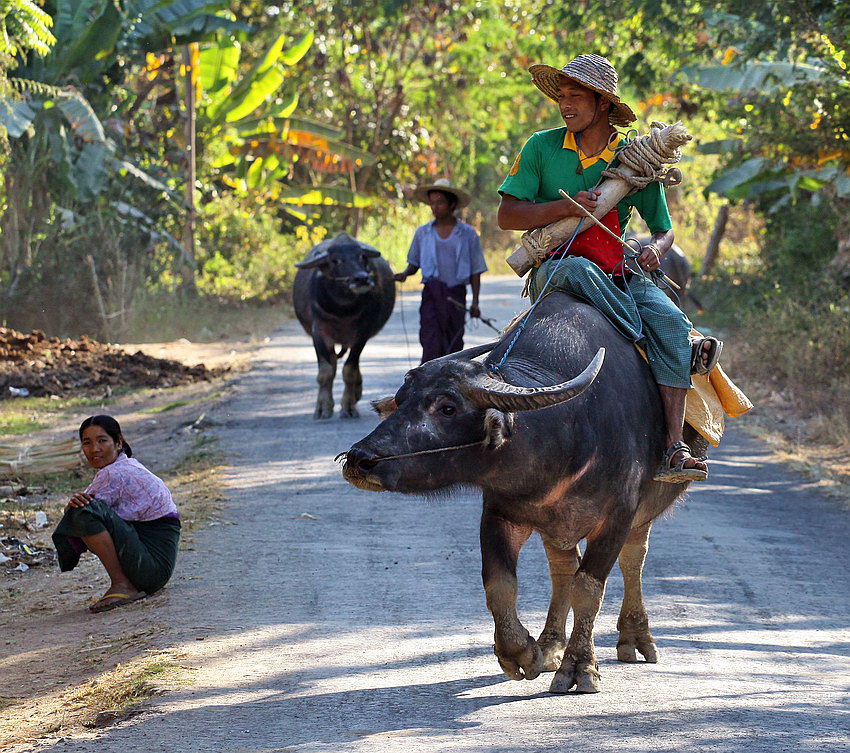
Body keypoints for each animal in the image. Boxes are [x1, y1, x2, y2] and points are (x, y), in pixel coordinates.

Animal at [294, 232, 394, 420]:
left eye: (362, 257)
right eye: (335, 261)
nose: (361, 278)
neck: (343, 310)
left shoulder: (361, 334)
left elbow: (349, 371)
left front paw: (348, 406)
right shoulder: (319, 333)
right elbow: (325, 372)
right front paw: (323, 407)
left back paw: (357, 392)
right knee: (333, 363)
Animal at [338, 290, 704, 692]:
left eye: (447, 407)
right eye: (401, 399)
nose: (360, 459)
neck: (568, 432)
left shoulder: (617, 517)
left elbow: (589, 589)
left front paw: (580, 667)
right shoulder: (501, 512)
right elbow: (500, 586)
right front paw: (522, 654)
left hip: (641, 514)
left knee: (632, 561)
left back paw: (635, 639)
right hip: (556, 525)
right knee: (563, 570)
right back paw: (550, 645)